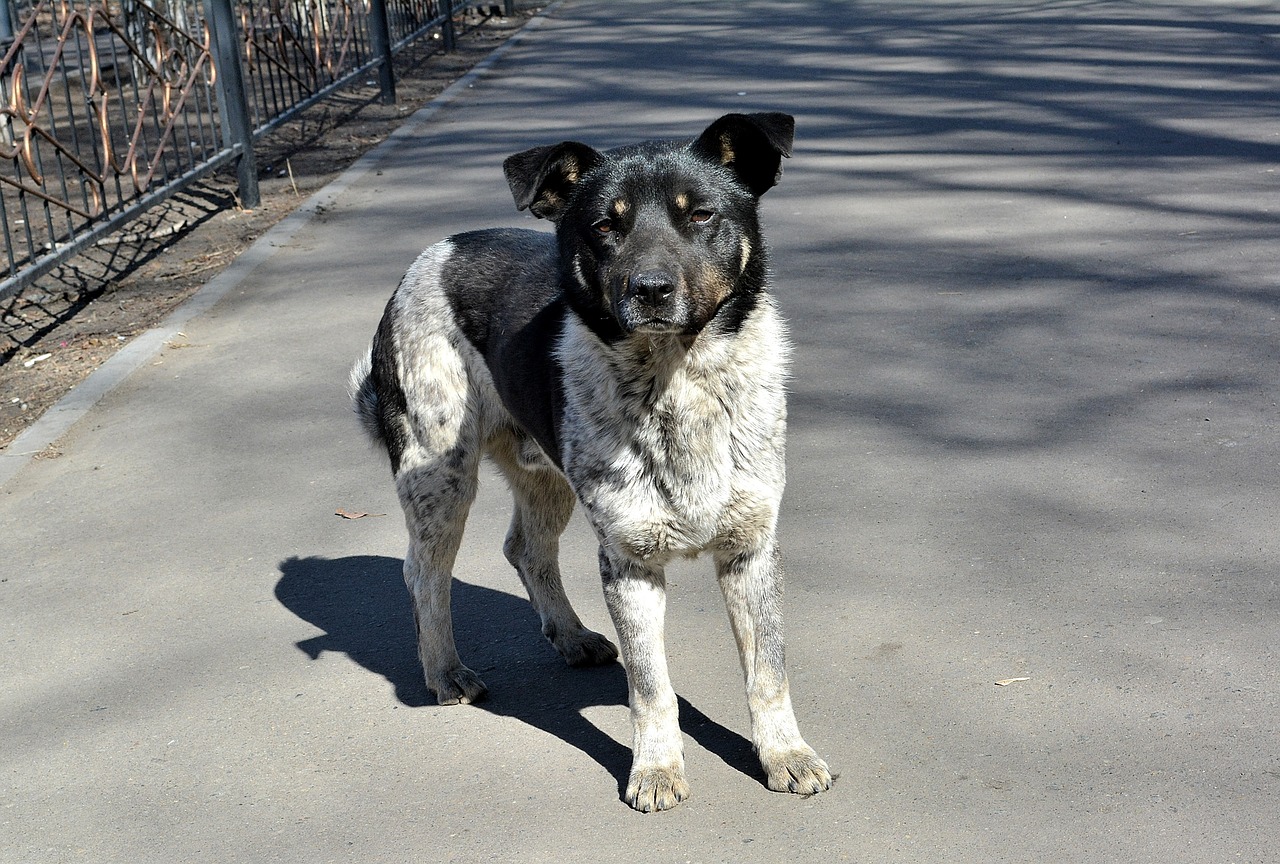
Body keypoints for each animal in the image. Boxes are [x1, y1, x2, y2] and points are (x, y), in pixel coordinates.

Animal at [350, 113, 829, 808]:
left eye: (701, 214)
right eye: (606, 225)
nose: (651, 290)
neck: (674, 381)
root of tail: (434, 253)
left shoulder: (751, 551)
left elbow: (767, 671)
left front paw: (785, 755)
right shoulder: (629, 564)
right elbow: (652, 689)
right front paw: (656, 770)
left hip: (545, 475)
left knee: (525, 548)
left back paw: (571, 635)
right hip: (440, 475)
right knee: (425, 574)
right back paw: (445, 672)